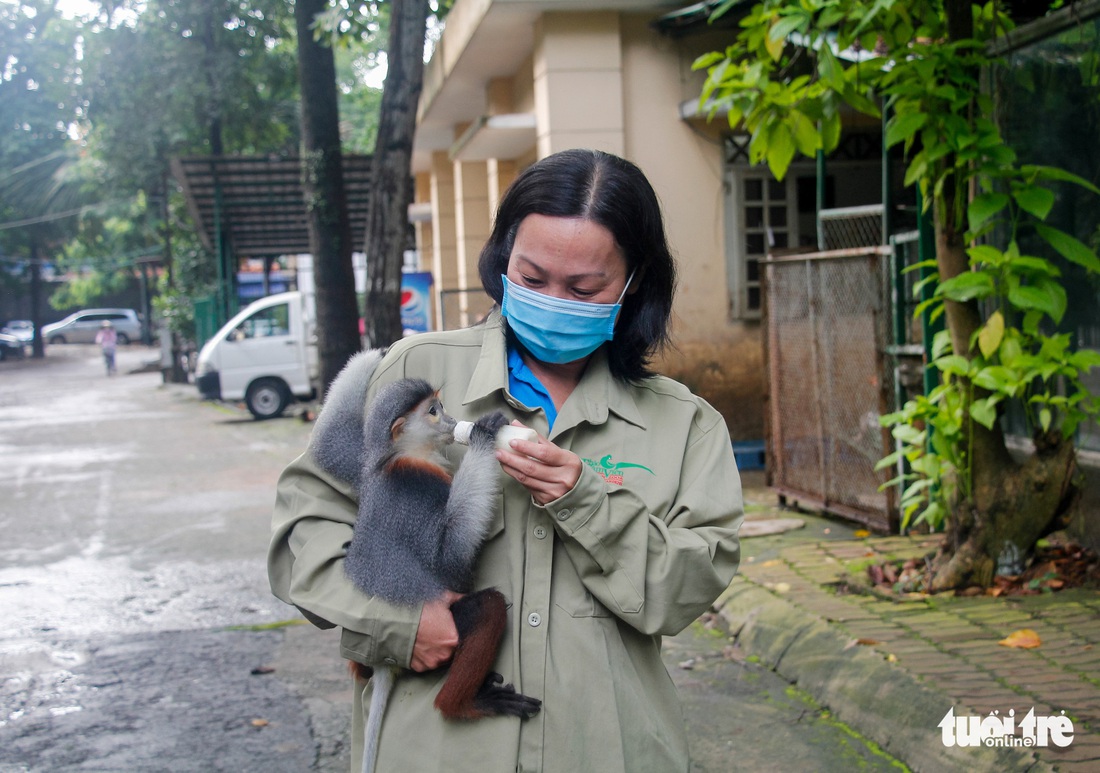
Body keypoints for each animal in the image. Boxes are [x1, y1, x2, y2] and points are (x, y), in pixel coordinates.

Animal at [308, 354, 539, 773]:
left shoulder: (365, 462)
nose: (450, 420)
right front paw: (483, 437)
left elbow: (330, 445)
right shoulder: (418, 485)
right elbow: (451, 560)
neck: (403, 454)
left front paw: (368, 358)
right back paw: (461, 704)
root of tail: (385, 662)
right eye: (433, 412)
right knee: (488, 607)